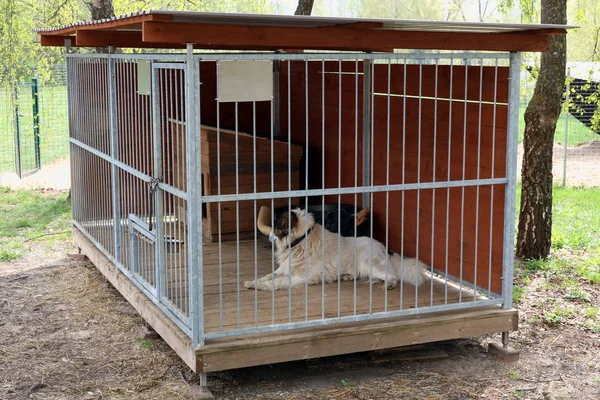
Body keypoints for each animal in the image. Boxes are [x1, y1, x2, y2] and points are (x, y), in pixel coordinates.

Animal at [241, 208, 428, 292]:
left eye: (277, 228)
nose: (268, 235)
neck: (301, 241)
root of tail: (385, 248)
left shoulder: (301, 277)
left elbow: (277, 281)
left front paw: (262, 286)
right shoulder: (284, 269)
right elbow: (268, 275)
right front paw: (253, 282)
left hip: (366, 263)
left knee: (392, 275)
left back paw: (388, 284)